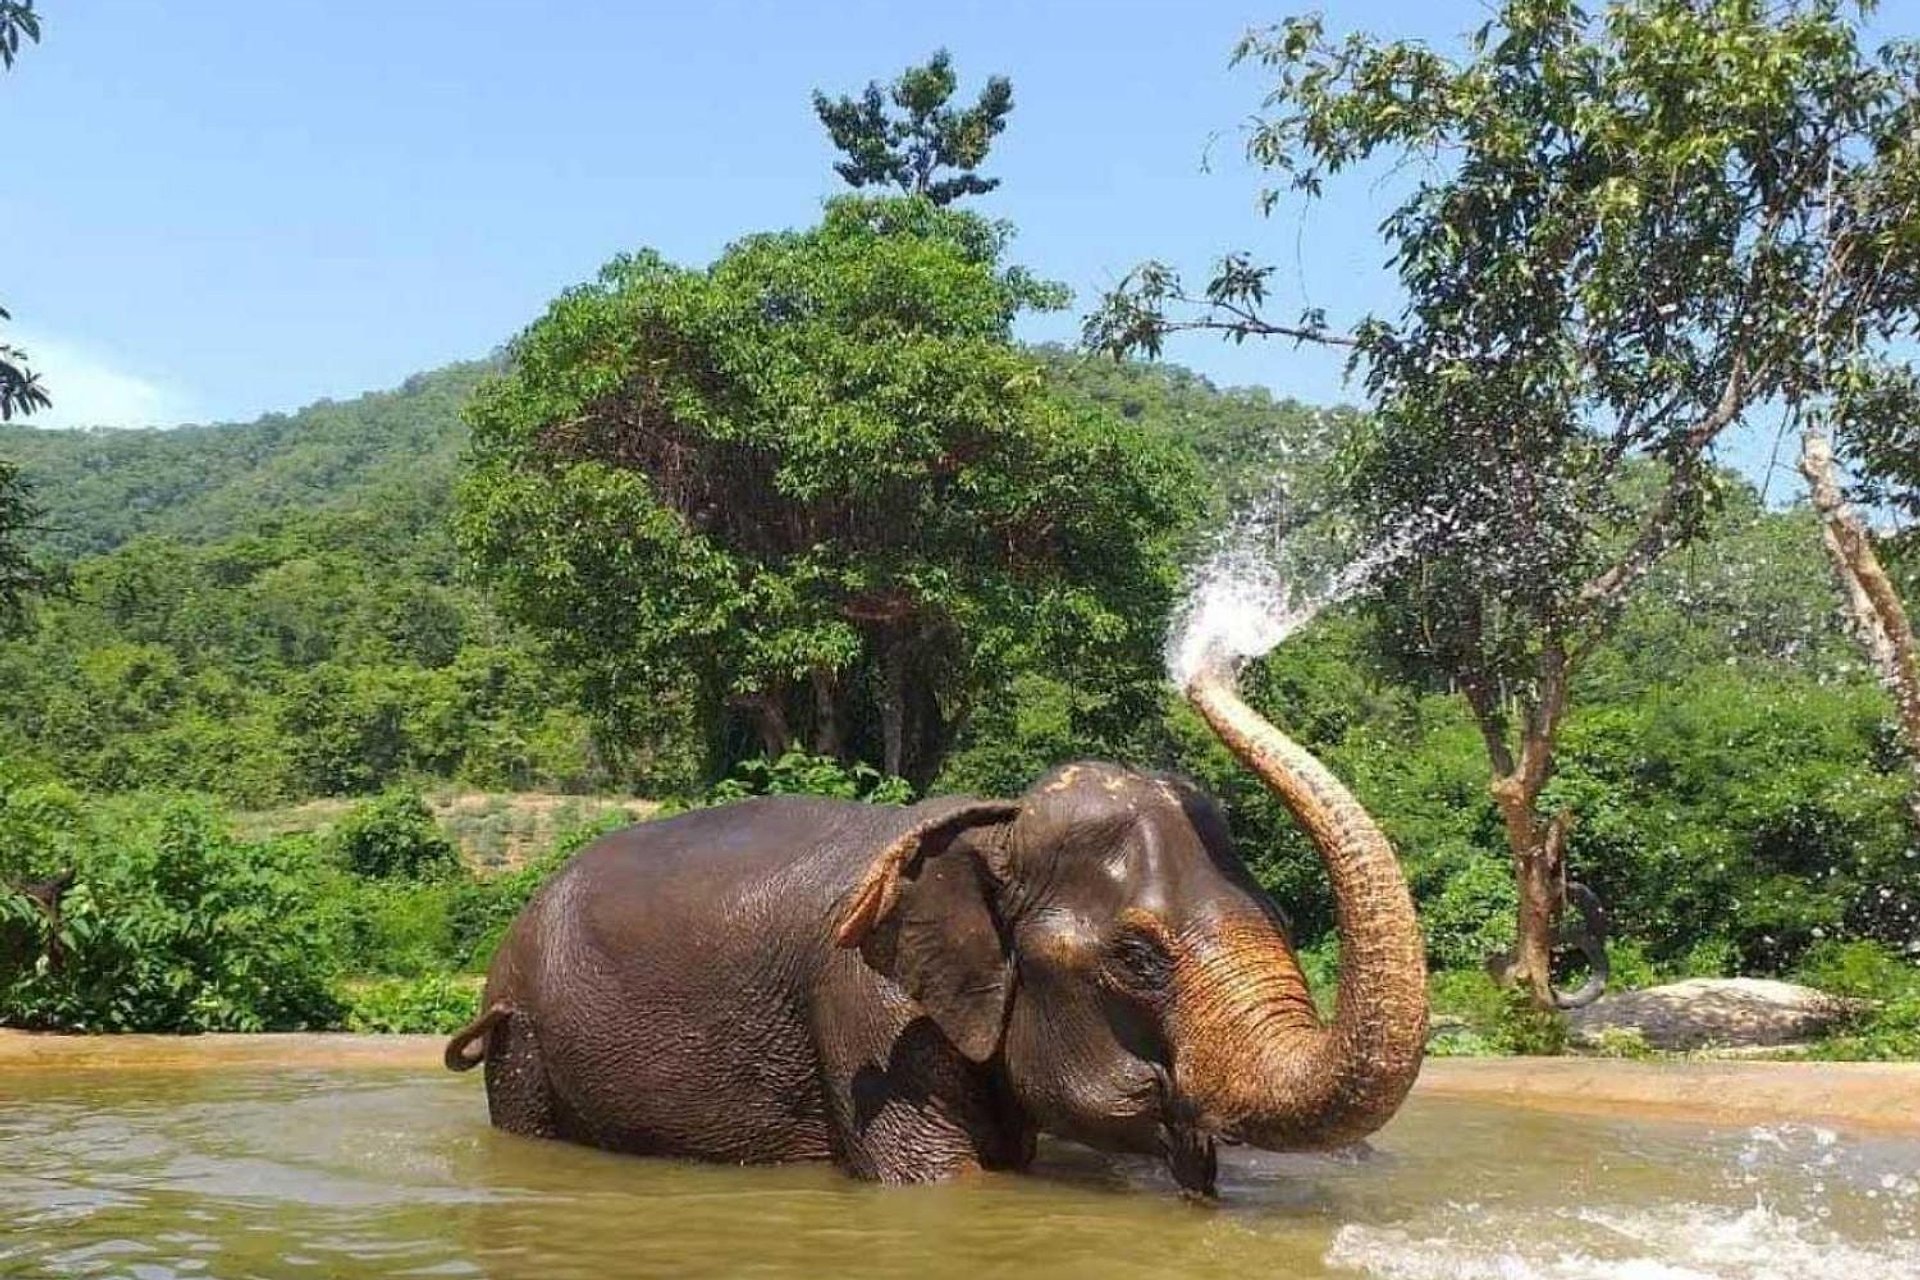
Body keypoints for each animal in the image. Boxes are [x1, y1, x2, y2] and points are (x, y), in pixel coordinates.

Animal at [445, 666, 1427, 1196]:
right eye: (1138, 957)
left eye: (1284, 920)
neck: (995, 829)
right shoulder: (865, 1010)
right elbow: (936, 1181)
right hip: (523, 1044)